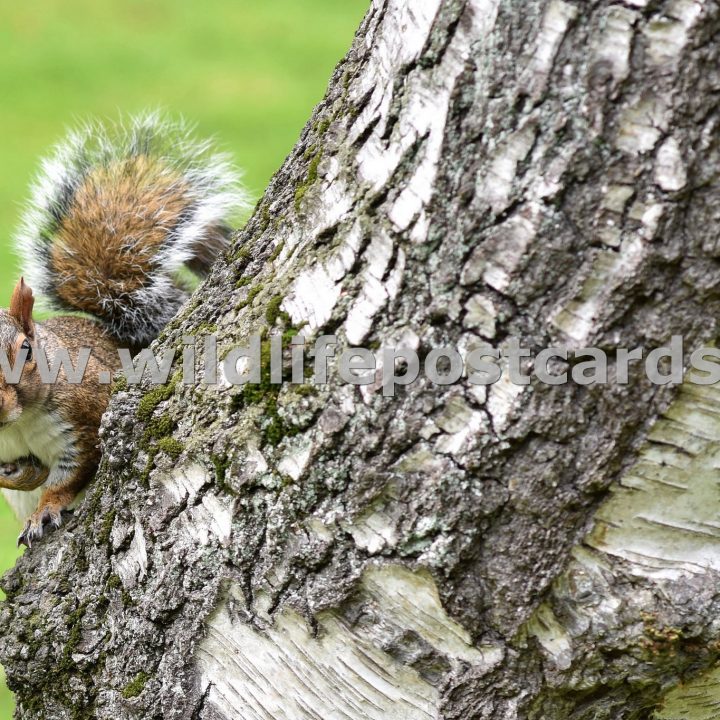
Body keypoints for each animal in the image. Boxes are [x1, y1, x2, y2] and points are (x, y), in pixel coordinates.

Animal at [0, 112, 248, 544]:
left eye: (26, 352)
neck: (15, 427)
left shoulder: (83, 414)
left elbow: (71, 475)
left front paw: (46, 508)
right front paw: (18, 475)